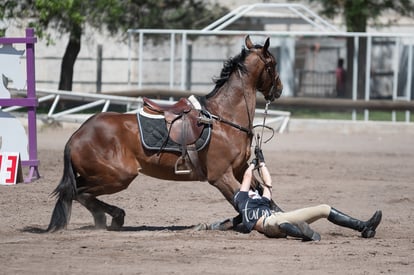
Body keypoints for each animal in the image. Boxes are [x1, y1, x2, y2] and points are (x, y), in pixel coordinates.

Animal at [47, 35, 284, 233]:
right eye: (273, 64)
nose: (279, 89)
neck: (224, 117)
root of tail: (77, 135)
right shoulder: (221, 176)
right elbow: (241, 201)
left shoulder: (240, 169)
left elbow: (262, 194)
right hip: (117, 176)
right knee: (78, 192)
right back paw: (113, 218)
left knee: (76, 191)